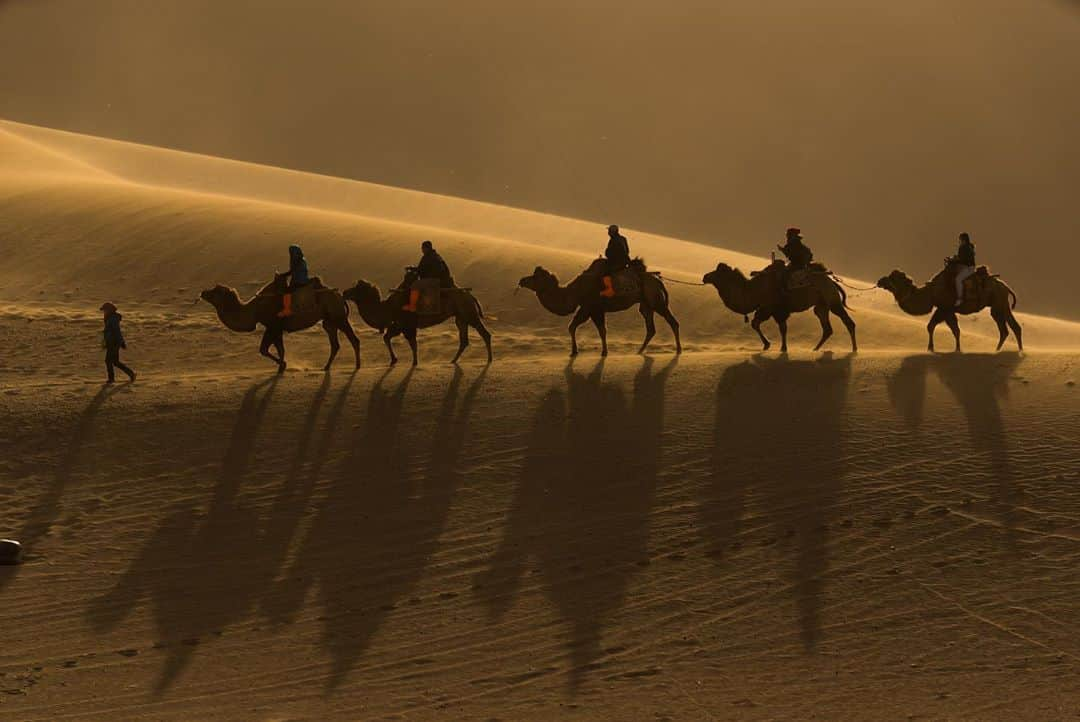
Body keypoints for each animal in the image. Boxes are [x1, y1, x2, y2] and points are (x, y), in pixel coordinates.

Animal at [204, 271, 365, 371]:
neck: (254, 310)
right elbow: (278, 349)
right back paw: (326, 367)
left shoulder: (273, 325)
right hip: (329, 322)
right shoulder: (277, 328)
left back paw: (357, 366)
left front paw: (283, 365)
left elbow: (264, 349)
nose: (203, 292)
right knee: (335, 344)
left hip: (339, 317)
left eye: (215, 291)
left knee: (353, 339)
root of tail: (339, 296)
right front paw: (281, 367)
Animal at [343, 276, 492, 366]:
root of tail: (470, 296)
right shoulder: (399, 325)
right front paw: (394, 360)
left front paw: (414, 363)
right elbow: (387, 337)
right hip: (461, 317)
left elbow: (412, 343)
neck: (388, 308)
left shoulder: (406, 324)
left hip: (469, 313)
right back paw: (453, 360)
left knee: (484, 333)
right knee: (464, 340)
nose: (344, 292)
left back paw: (489, 360)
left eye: (356, 289)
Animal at [516, 257, 682, 356]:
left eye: (535, 277)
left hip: (657, 301)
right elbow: (596, 330)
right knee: (650, 328)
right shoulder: (594, 309)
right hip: (645, 304)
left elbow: (577, 327)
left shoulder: (590, 307)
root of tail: (658, 280)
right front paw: (599, 351)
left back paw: (678, 350)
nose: (521, 280)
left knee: (672, 322)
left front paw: (579, 352)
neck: (573, 292)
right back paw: (639, 351)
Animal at [699, 263, 859, 353]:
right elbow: (765, 325)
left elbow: (770, 326)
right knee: (827, 328)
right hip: (820, 306)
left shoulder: (772, 309)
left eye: (718, 272)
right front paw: (774, 347)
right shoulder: (771, 310)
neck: (752, 291)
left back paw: (854, 350)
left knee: (848, 322)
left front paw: (776, 347)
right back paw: (815, 349)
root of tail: (833, 283)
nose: (705, 276)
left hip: (832, 301)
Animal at [876, 267, 1019, 351]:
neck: (930, 293)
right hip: (999, 305)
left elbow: (939, 327)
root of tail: (1006, 287)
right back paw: (1003, 350)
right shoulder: (945, 309)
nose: (880, 281)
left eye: (892, 278)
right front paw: (949, 349)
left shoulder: (945, 308)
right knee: (1008, 328)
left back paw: (1014, 351)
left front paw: (936, 349)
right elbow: (947, 328)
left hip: (999, 303)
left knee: (1009, 327)